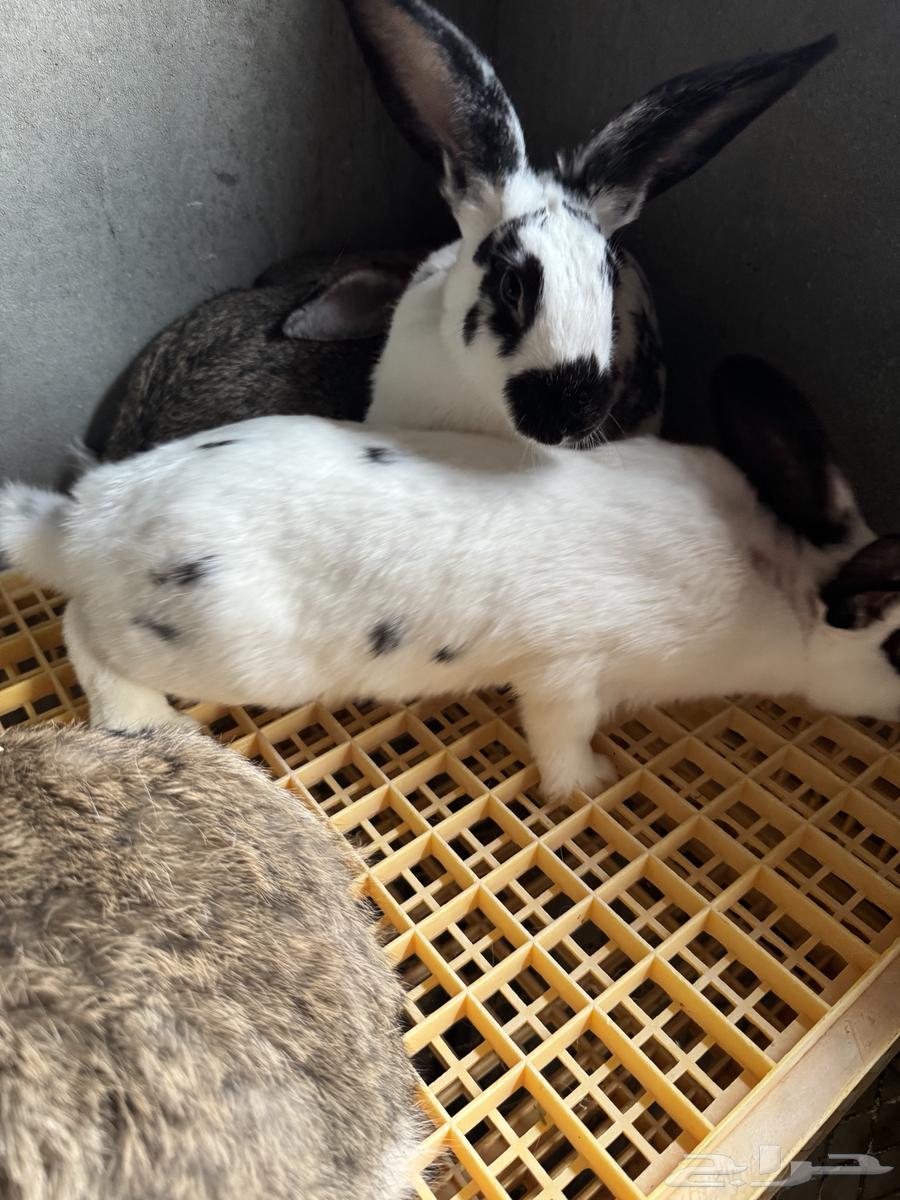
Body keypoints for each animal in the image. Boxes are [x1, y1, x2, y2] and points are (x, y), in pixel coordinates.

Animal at [3, 356, 898, 802]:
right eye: (897, 652)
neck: (776, 575)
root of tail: (81, 524)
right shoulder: (570, 669)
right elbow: (562, 732)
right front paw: (589, 787)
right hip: (219, 650)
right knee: (81, 633)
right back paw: (145, 719)